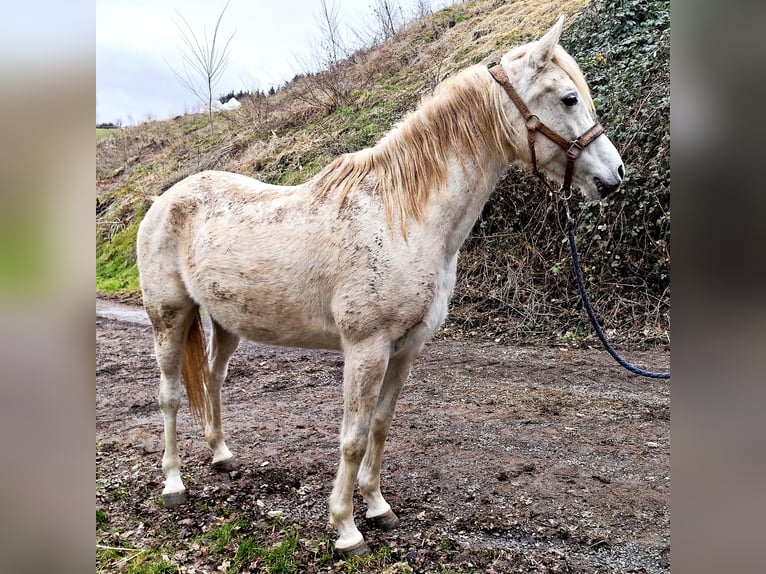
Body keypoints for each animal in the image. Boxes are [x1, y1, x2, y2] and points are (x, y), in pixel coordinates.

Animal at [136, 16, 624, 560]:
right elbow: (352, 435)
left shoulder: (406, 347)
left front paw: (377, 507)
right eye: (568, 98)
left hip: (226, 323)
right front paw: (346, 528)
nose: (615, 176)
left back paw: (221, 455)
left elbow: (381, 426)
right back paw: (173, 484)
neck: (402, 217)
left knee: (213, 379)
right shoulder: (365, 348)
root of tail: (166, 199)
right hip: (168, 317)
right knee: (170, 395)